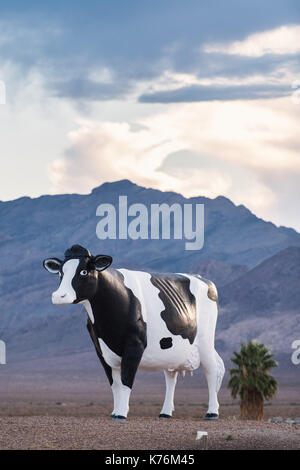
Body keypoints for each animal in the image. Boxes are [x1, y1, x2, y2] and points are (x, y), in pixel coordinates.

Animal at [43, 244, 224, 420]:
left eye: (83, 271)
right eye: (60, 272)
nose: (59, 296)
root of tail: (205, 280)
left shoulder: (134, 345)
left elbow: (125, 380)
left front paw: (121, 413)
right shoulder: (100, 350)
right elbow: (114, 384)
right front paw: (115, 412)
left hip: (206, 342)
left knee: (212, 370)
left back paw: (212, 412)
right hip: (172, 349)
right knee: (171, 377)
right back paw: (165, 413)